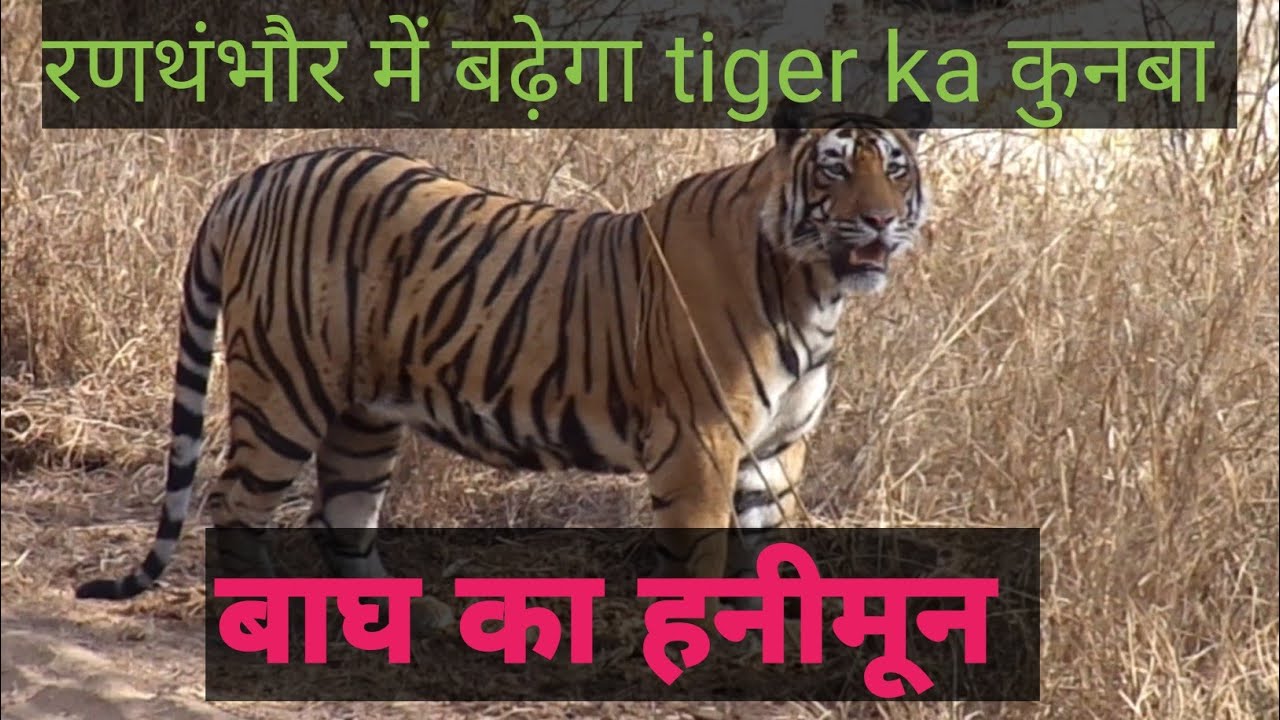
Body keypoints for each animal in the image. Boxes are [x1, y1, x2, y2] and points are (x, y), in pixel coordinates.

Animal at [74, 97, 931, 617]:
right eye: (833, 168)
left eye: (894, 168)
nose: (881, 223)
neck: (813, 290)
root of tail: (255, 176)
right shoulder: (702, 444)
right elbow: (702, 562)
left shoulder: (777, 451)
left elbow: (772, 555)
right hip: (286, 389)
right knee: (237, 506)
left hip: (364, 415)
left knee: (341, 514)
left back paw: (407, 617)